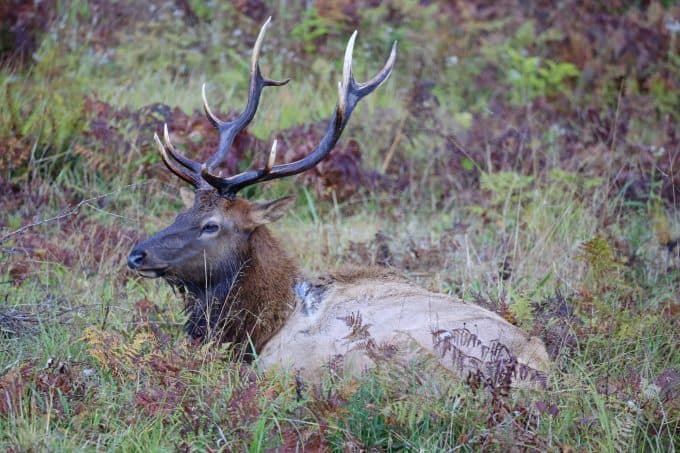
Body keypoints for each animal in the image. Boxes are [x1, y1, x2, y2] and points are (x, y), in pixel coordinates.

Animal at [129, 18, 552, 384]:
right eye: (182, 212)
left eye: (211, 225)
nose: (136, 254)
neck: (268, 320)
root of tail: (537, 369)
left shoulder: (277, 360)